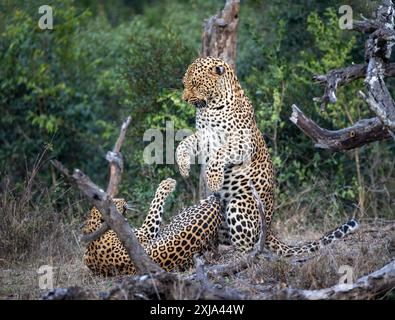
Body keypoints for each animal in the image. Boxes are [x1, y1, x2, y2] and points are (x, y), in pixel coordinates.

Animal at [176, 57, 358, 258]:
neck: (211, 105)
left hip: (239, 205)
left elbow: (220, 153)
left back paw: (237, 257)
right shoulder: (204, 137)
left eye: (195, 84)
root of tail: (269, 229)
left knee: (247, 245)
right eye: (185, 84)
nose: (184, 99)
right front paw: (183, 166)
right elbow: (183, 143)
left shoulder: (242, 141)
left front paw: (214, 179)